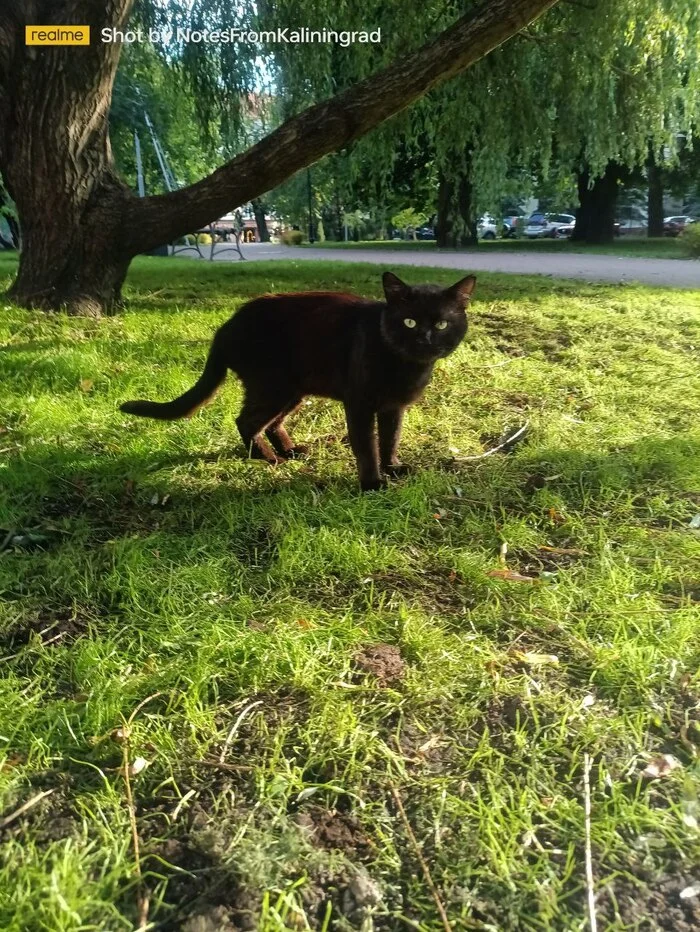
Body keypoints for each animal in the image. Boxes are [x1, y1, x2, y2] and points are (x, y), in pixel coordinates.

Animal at [121, 270, 476, 488]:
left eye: (442, 324)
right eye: (409, 321)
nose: (425, 340)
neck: (407, 366)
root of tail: (225, 326)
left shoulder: (393, 408)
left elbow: (391, 439)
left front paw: (393, 468)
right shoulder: (359, 404)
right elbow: (366, 446)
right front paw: (372, 484)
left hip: (293, 390)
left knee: (270, 423)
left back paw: (290, 451)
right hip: (273, 386)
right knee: (246, 421)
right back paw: (267, 458)